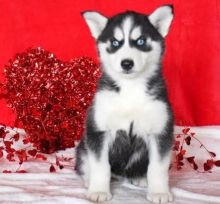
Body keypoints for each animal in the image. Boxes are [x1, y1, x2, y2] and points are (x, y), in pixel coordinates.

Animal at [76, 5, 174, 204]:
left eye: (141, 41)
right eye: (115, 43)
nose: (127, 63)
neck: (131, 88)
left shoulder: (161, 132)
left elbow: (158, 168)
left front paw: (159, 192)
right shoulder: (98, 130)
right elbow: (100, 166)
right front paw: (98, 190)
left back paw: (140, 178)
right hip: (82, 146)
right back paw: (89, 180)